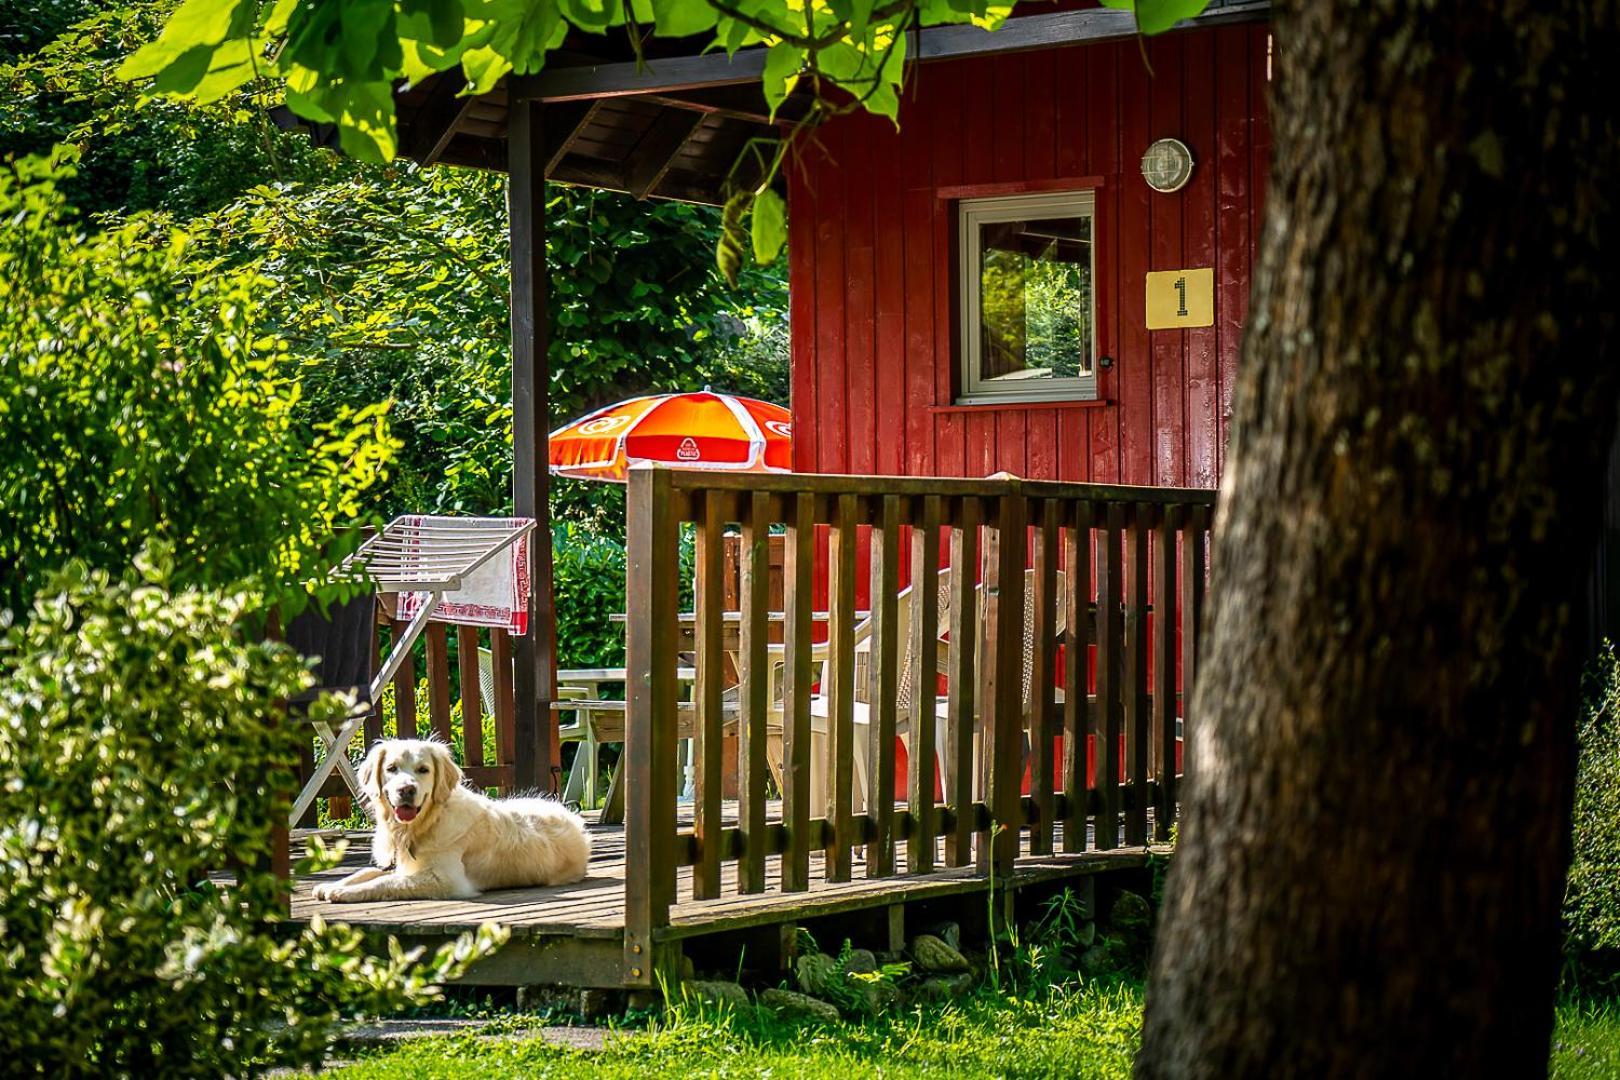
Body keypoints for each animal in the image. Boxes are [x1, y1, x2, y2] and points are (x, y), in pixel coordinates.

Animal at [309, 738, 589, 900]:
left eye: (423, 769)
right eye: (391, 768)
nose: (406, 790)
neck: (421, 825)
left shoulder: (447, 879)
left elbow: (387, 880)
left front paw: (343, 891)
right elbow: (368, 871)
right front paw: (334, 884)